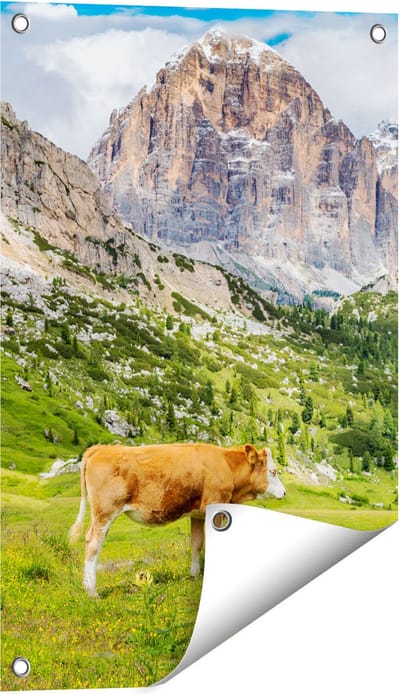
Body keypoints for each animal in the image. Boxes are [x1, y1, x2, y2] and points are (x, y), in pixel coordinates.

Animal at [69, 442, 286, 597]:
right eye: (273, 471)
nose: (284, 492)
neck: (226, 465)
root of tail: (101, 449)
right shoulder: (216, 504)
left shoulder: (198, 513)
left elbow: (197, 543)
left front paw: (195, 575)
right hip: (105, 511)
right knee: (93, 543)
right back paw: (92, 592)